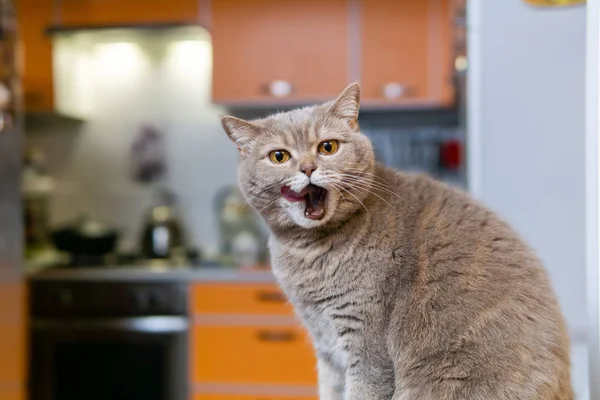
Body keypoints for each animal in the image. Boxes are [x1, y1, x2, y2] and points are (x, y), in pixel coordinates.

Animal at [220, 83, 572, 400]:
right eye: (279, 156)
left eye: (328, 147)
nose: (308, 167)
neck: (307, 251)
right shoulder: (326, 347)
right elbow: (329, 390)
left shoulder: (365, 341)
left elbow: (364, 388)